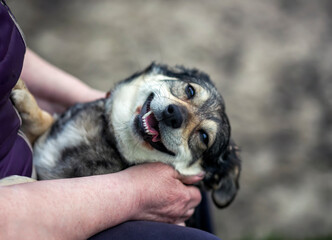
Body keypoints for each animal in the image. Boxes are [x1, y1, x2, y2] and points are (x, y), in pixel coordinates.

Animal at [11, 63, 241, 208]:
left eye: (203, 137)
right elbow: (45, 121)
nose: (174, 114)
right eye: (190, 90)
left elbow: (29, 182)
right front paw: (26, 100)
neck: (110, 137)